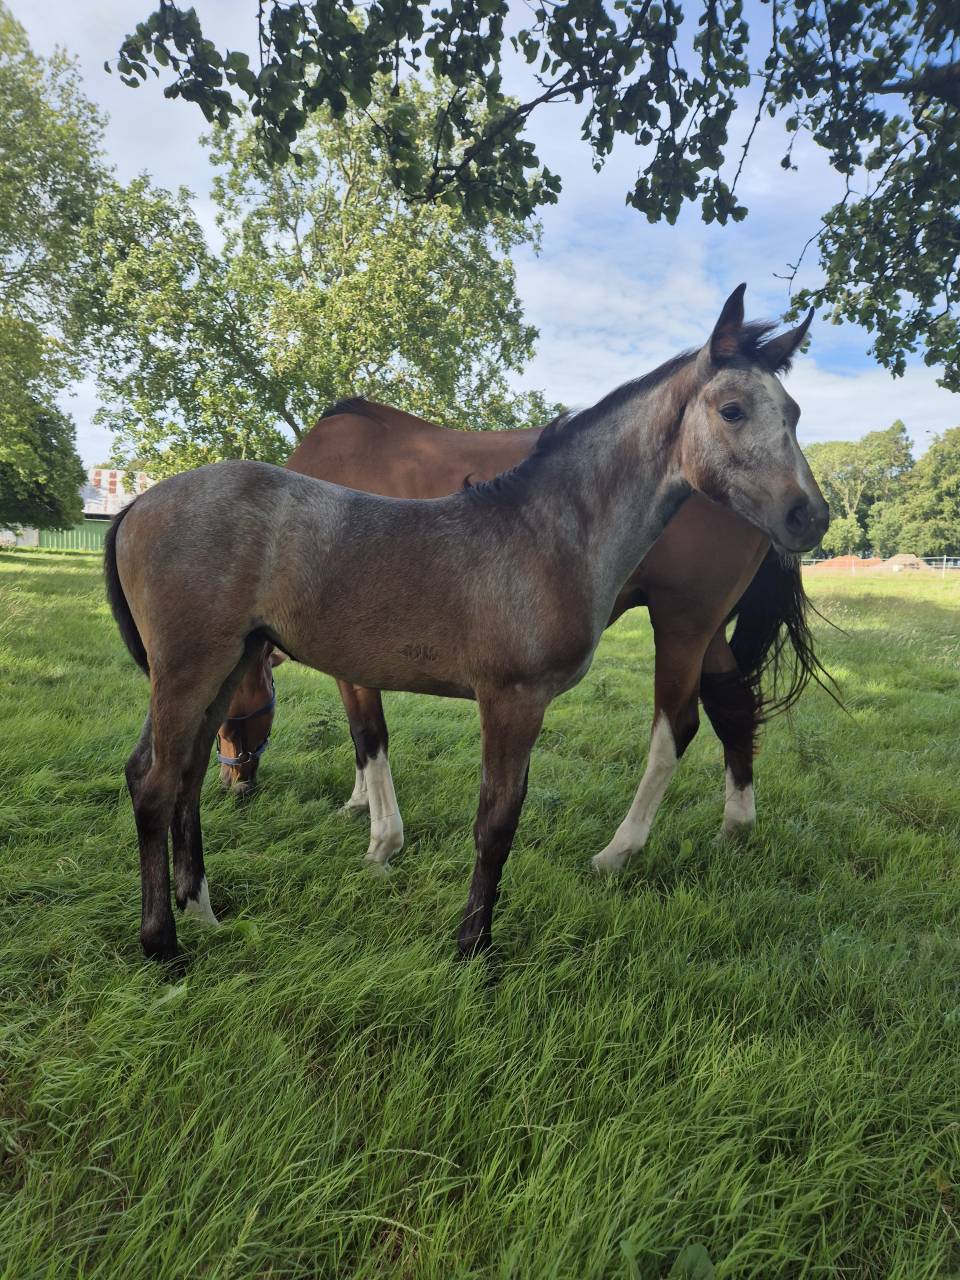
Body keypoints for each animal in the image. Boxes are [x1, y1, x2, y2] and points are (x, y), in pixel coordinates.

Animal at [105, 286, 829, 960]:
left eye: (795, 414)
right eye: (732, 410)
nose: (810, 517)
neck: (549, 530)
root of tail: (137, 504)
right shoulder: (509, 699)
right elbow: (492, 820)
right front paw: (470, 944)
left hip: (222, 666)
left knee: (179, 776)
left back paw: (201, 913)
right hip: (193, 669)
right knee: (157, 781)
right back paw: (163, 943)